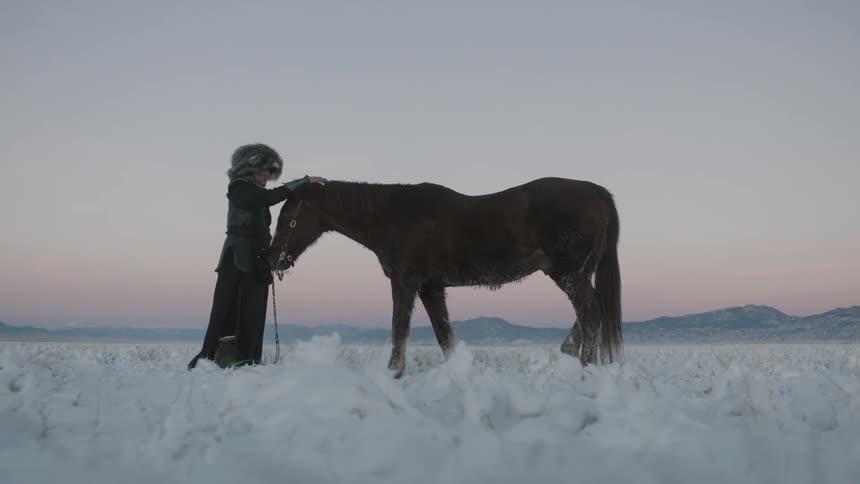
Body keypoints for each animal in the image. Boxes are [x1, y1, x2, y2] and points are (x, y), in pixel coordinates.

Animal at [269, 177, 622, 378]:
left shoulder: (405, 283)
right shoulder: (431, 288)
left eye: (286, 217)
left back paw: (584, 369)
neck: (392, 216)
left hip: (569, 274)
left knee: (590, 314)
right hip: (575, 274)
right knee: (594, 310)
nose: (274, 258)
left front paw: (393, 374)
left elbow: (400, 330)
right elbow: (444, 336)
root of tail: (599, 193)